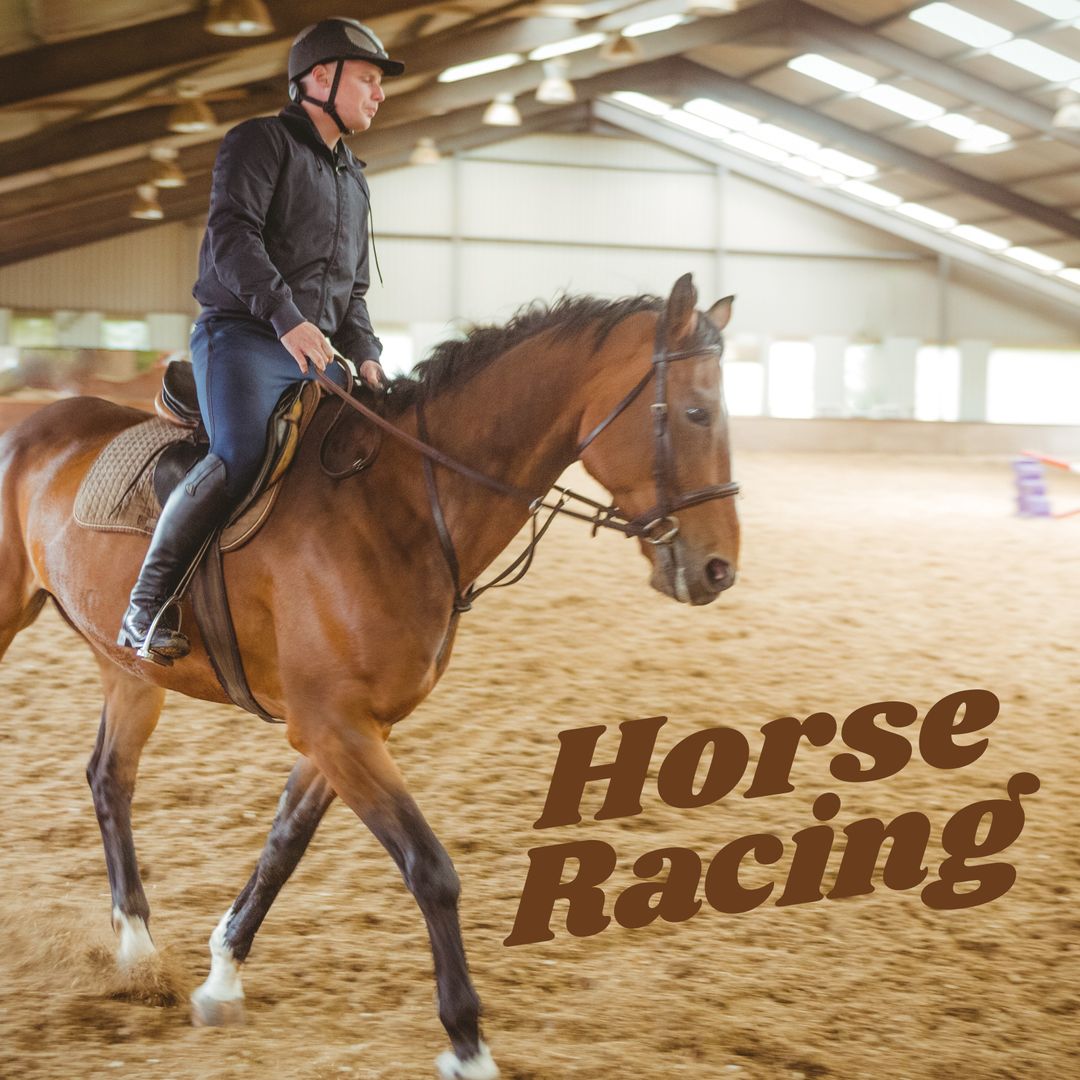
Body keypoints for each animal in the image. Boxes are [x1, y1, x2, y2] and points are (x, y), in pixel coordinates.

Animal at [0, 272, 738, 1080]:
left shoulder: (350, 727)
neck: (400, 505)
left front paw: (222, 977)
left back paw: (136, 951)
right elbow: (430, 869)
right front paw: (467, 1042)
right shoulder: (335, 727)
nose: (718, 570)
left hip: (128, 668)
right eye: (696, 412)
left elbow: (284, 843)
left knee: (110, 779)